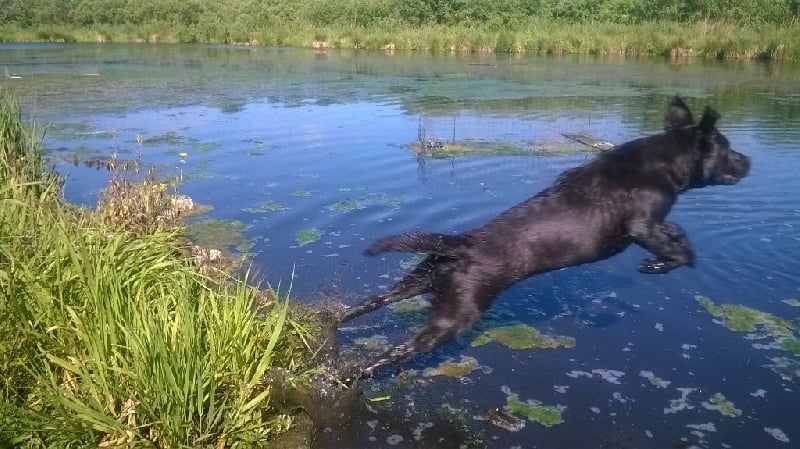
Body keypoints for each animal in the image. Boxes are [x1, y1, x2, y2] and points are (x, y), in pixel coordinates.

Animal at [339, 96, 750, 380]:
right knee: (395, 352)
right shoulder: (642, 224)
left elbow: (677, 234)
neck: (663, 160)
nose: (749, 161)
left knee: (365, 305)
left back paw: (334, 325)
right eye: (728, 148)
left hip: (418, 280)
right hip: (455, 316)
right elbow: (680, 249)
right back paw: (354, 377)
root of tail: (460, 246)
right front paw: (658, 264)